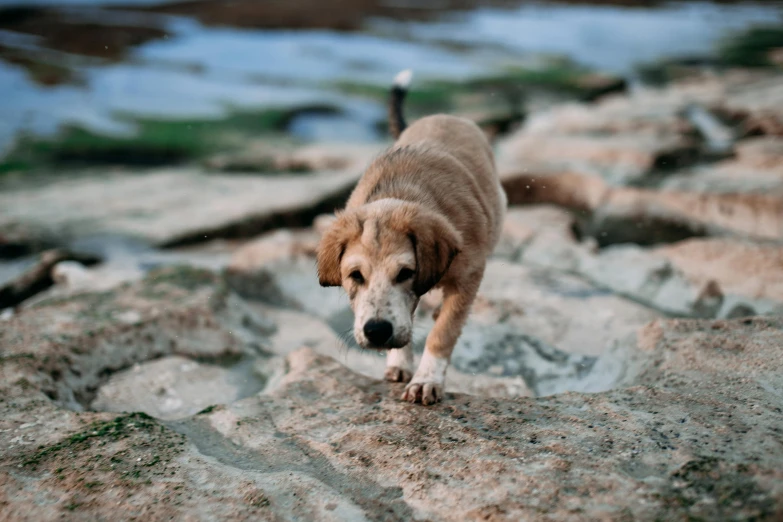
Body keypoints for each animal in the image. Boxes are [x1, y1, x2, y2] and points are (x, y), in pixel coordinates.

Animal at [318, 68, 508, 402]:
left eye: (406, 272)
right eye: (355, 276)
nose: (377, 332)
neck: (401, 193)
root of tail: (444, 115)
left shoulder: (469, 274)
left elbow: (444, 331)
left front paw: (426, 380)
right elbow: (408, 320)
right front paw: (399, 361)